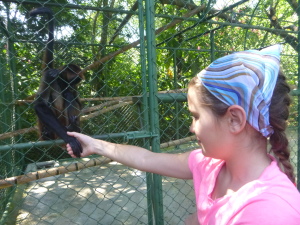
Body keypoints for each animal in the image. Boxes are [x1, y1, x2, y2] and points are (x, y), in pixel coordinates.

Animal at [30, 7, 83, 158]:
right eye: (74, 80)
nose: (72, 86)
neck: (61, 80)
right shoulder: (49, 76)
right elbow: (40, 104)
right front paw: (70, 138)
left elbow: (79, 103)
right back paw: (49, 134)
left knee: (69, 97)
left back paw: (73, 127)